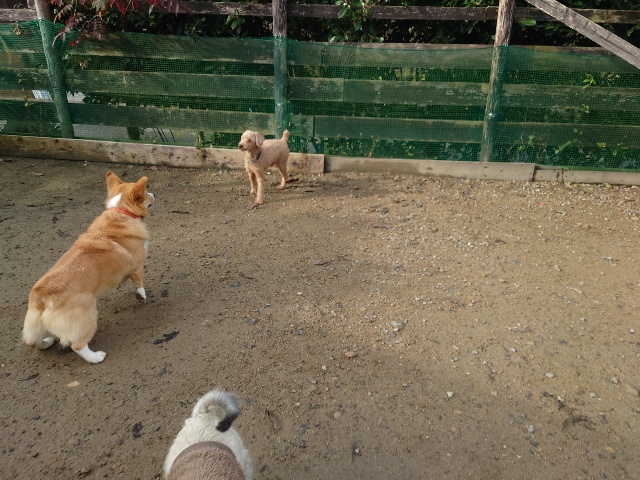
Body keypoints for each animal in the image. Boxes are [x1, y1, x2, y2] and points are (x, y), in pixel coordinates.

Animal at [22, 171, 155, 364]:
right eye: (146, 193)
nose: (154, 195)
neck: (121, 212)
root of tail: (42, 297)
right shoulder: (137, 266)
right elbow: (139, 284)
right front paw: (142, 296)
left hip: (35, 328)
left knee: (33, 342)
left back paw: (47, 342)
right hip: (88, 318)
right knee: (77, 346)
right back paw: (96, 357)